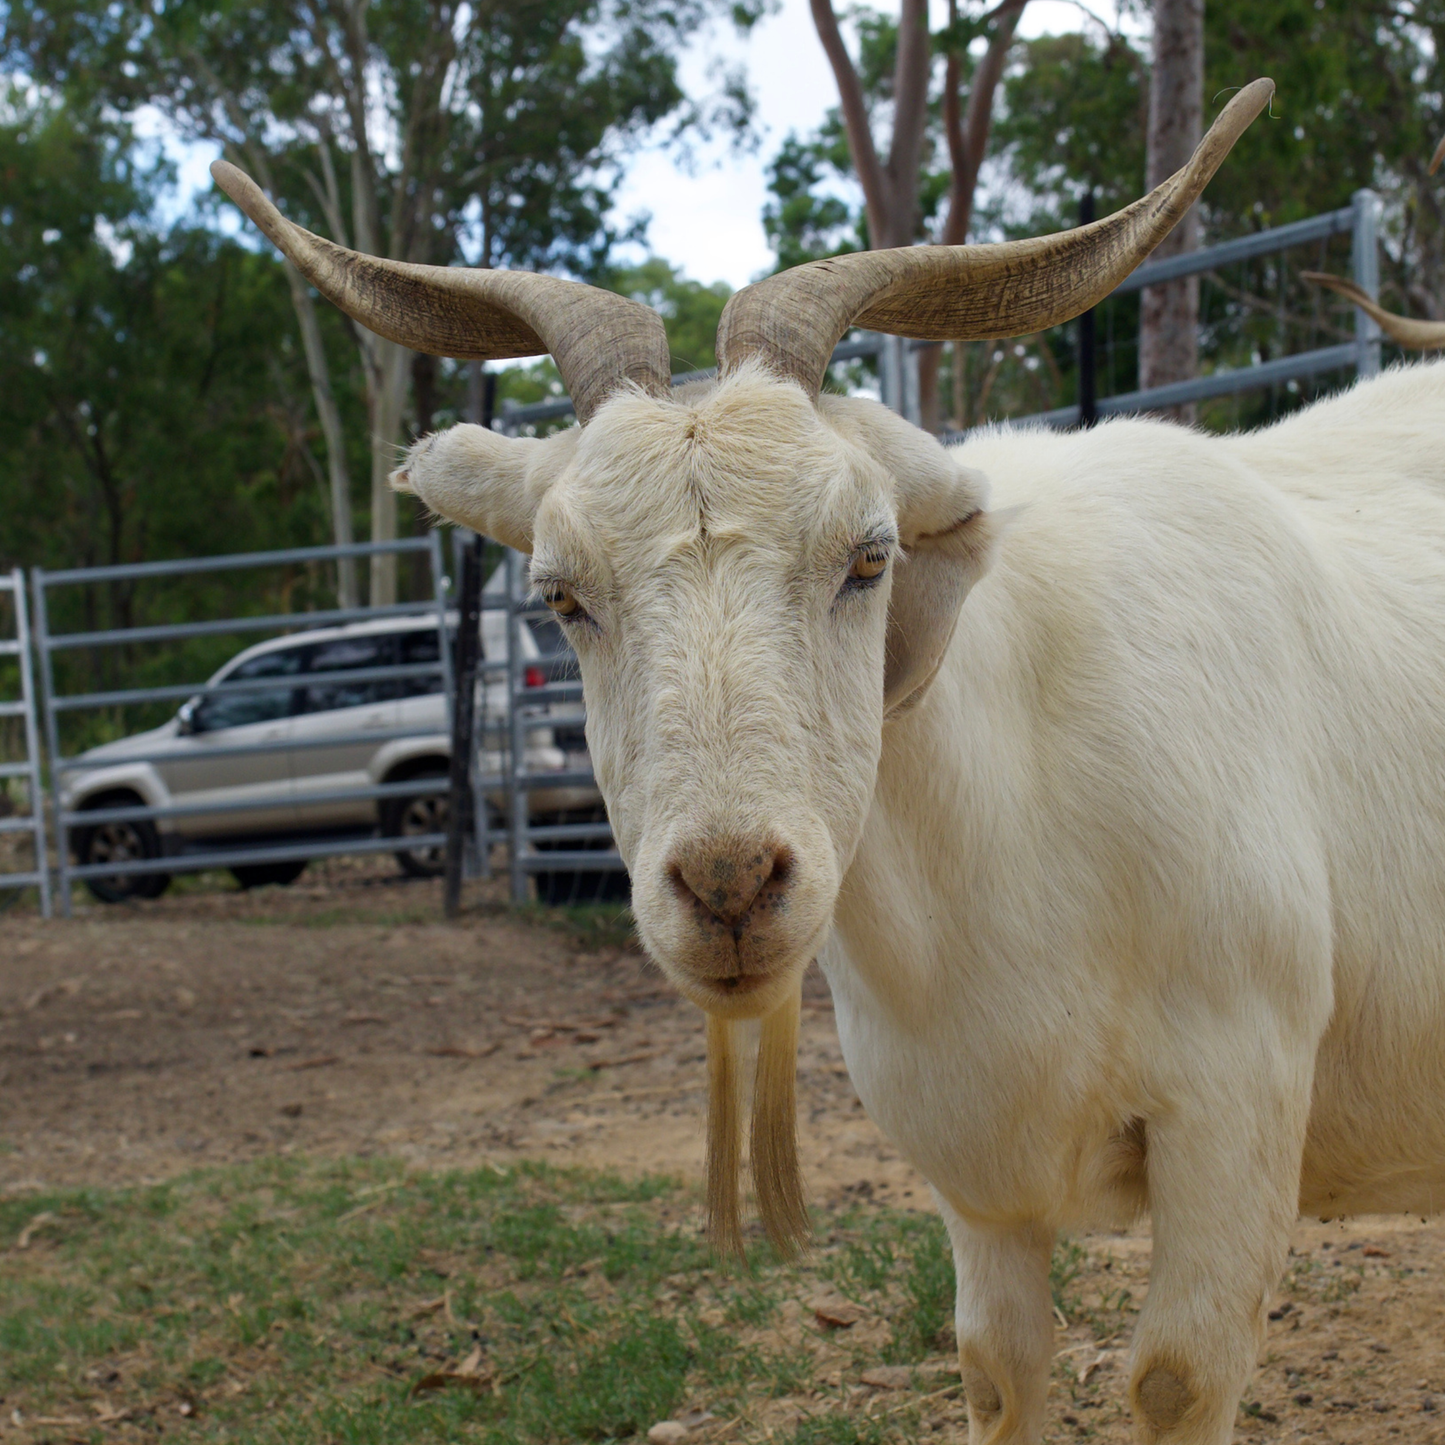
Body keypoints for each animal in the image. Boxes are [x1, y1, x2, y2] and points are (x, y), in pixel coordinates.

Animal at [211, 79, 1445, 1444]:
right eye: (559, 595)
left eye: (867, 556)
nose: (729, 883)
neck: (1020, 824)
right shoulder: (971, 1167)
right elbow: (995, 1366)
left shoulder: (1233, 1114)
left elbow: (1174, 1375)